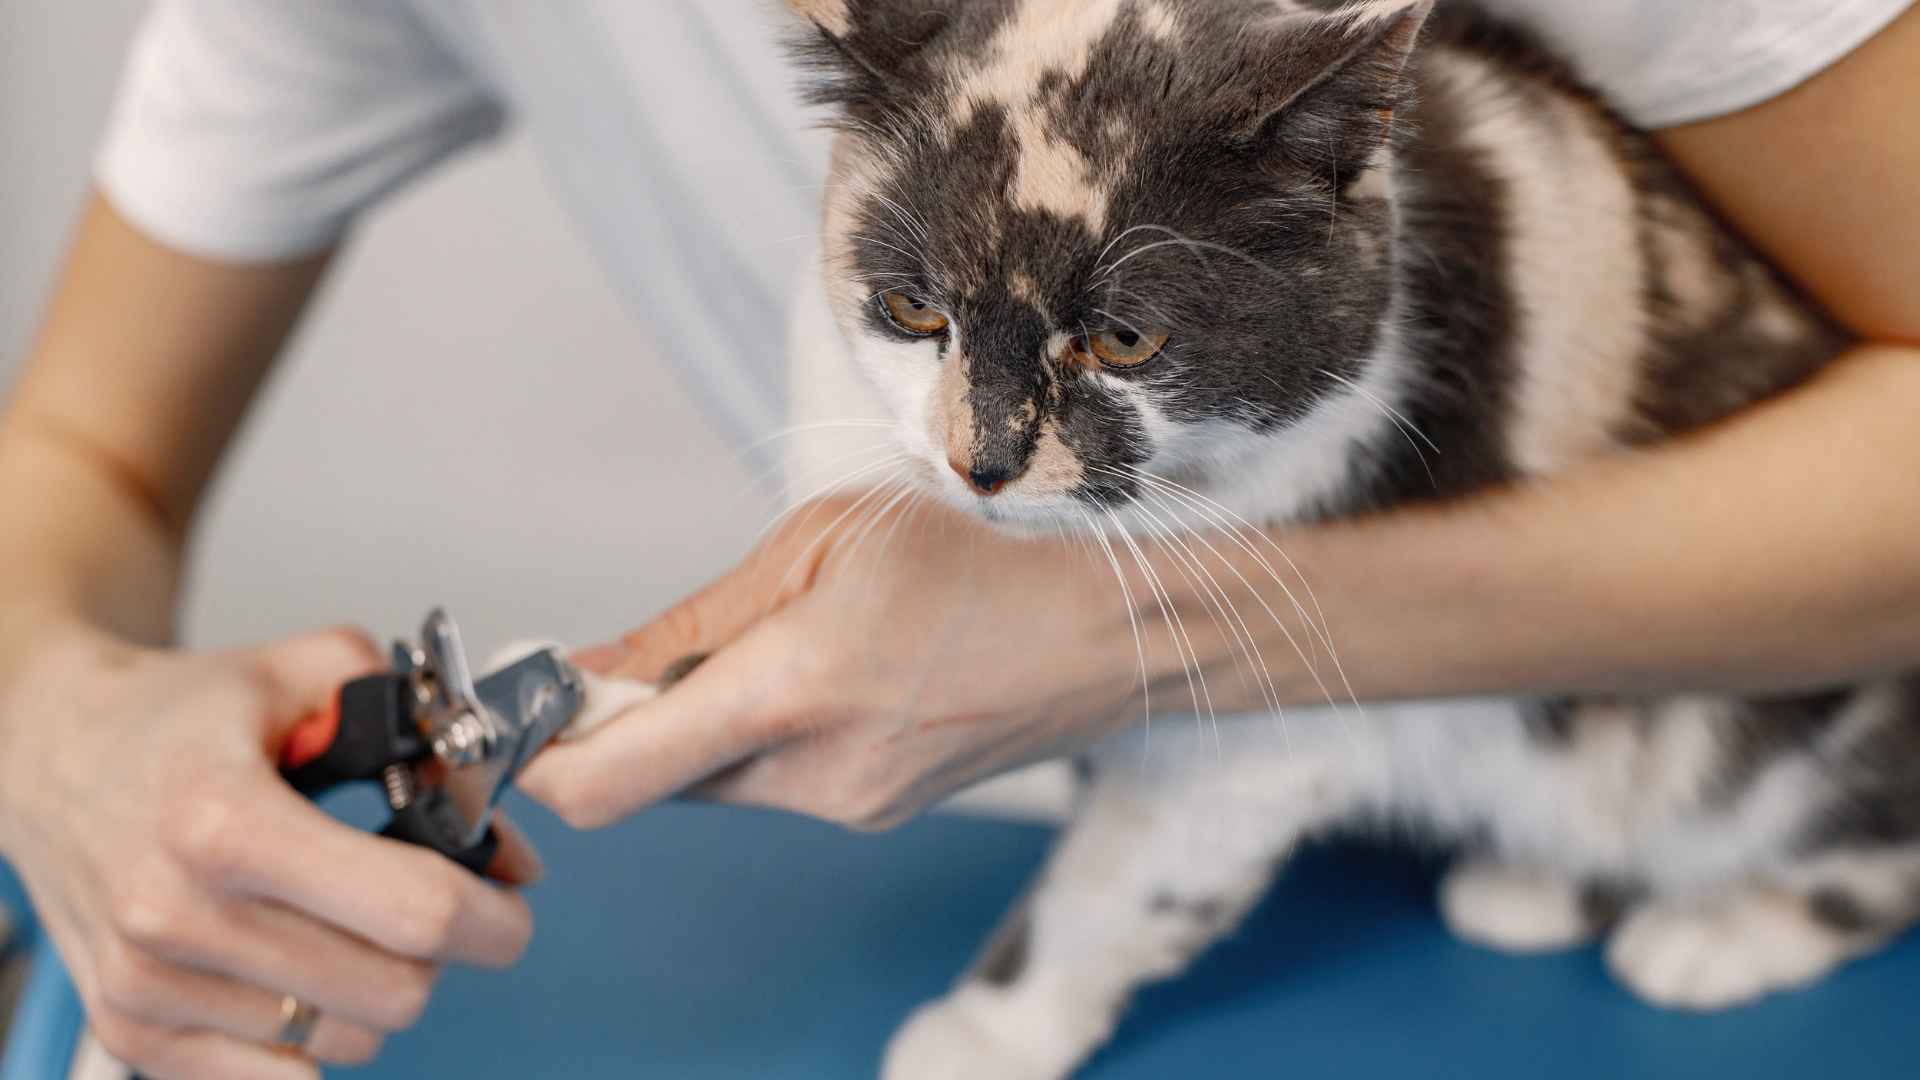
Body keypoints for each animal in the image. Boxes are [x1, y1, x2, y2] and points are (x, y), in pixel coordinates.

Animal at [771, 2, 1912, 1076]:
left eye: (1126, 338)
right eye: (912, 308)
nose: (984, 463)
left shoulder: (1268, 706)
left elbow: (1119, 883)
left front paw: (988, 1032)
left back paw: (1716, 932)